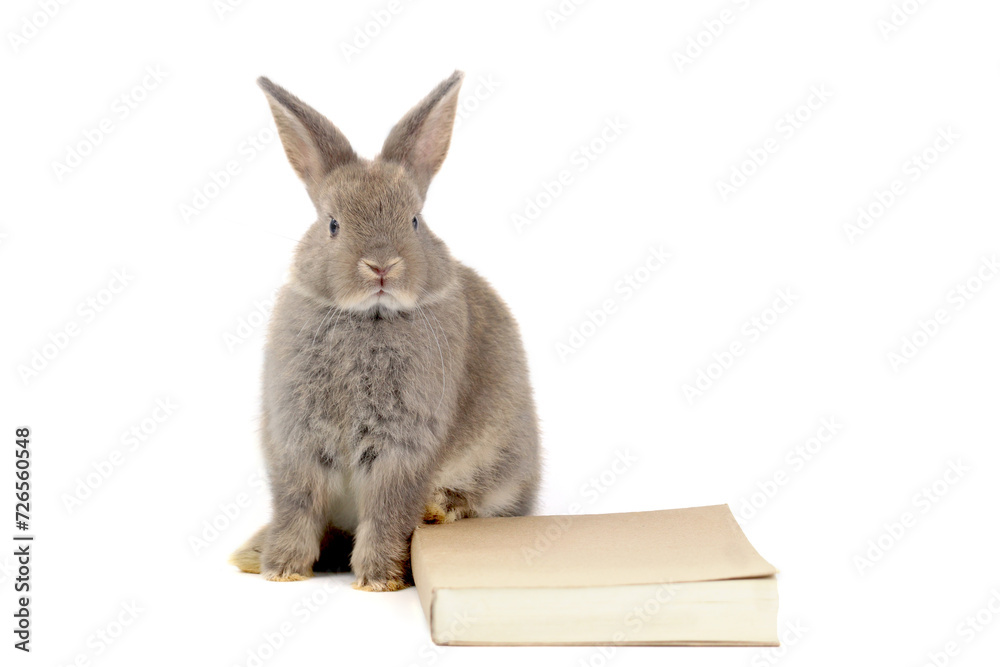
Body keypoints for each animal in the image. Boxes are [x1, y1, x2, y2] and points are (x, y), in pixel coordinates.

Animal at [229, 71, 541, 591]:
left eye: (414, 221)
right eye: (333, 224)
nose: (381, 266)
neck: (367, 319)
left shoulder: (403, 445)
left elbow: (388, 510)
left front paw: (378, 579)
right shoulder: (297, 441)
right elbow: (297, 505)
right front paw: (282, 571)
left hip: (501, 461)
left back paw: (438, 510)